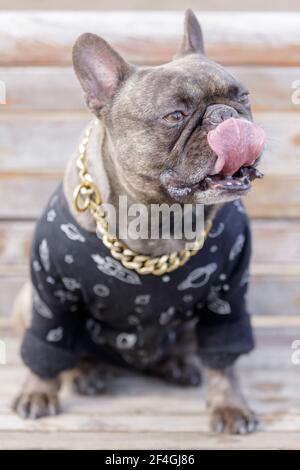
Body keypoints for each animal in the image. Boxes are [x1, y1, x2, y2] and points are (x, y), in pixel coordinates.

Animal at [12, 10, 264, 434]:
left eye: (242, 97)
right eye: (175, 116)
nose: (226, 114)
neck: (160, 218)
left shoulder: (227, 296)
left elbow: (225, 359)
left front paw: (230, 405)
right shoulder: (52, 293)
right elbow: (47, 345)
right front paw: (37, 393)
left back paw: (177, 366)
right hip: (26, 302)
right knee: (66, 353)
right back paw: (87, 374)